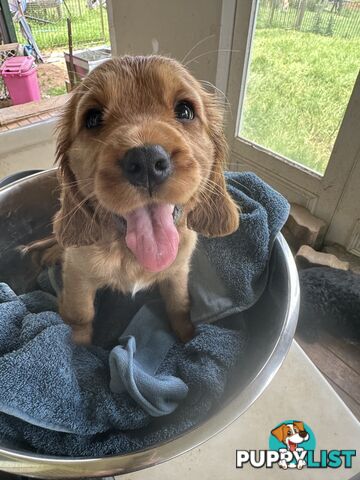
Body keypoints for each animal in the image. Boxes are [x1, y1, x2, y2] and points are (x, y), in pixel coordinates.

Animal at [40, 56, 239, 344]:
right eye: (92, 118)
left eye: (185, 111)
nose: (146, 161)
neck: (131, 252)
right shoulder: (77, 274)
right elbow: (80, 315)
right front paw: (78, 350)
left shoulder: (178, 270)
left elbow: (179, 304)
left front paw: (187, 337)